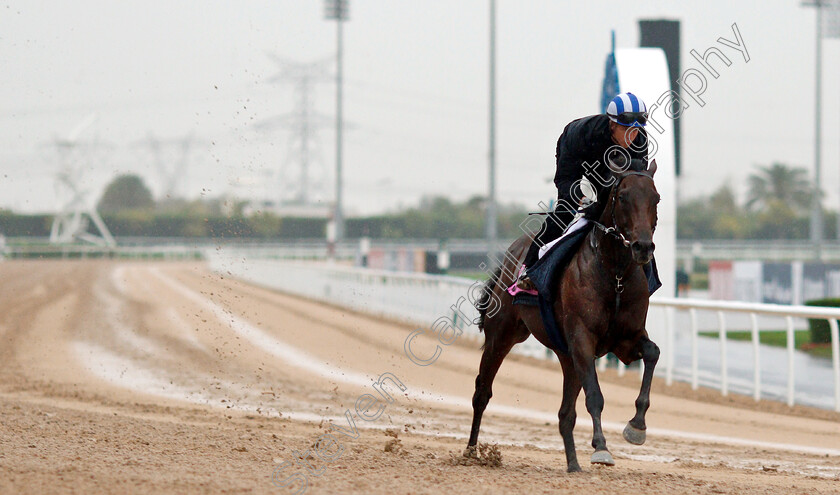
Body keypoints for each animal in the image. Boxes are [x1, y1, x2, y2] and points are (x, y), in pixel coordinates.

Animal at [470, 159, 660, 472]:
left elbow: (653, 353)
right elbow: (595, 396)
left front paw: (637, 426)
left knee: (565, 414)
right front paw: (601, 448)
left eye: (655, 198)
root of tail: (512, 251)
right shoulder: (582, 339)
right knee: (482, 392)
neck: (615, 275)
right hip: (503, 335)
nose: (643, 246)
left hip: (565, 355)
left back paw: (573, 465)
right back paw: (471, 451)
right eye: (623, 197)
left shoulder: (626, 340)